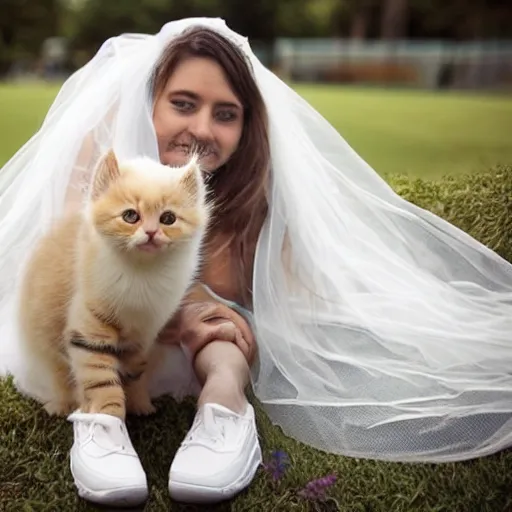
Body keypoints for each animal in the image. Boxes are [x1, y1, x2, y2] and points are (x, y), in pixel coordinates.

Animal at [17, 149, 210, 420]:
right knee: (60, 375)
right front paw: (108, 416)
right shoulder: (89, 331)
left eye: (168, 218)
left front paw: (139, 406)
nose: (152, 232)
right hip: (47, 338)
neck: (141, 274)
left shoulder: (141, 337)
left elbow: (135, 373)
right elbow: (102, 382)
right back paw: (61, 406)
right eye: (130, 216)